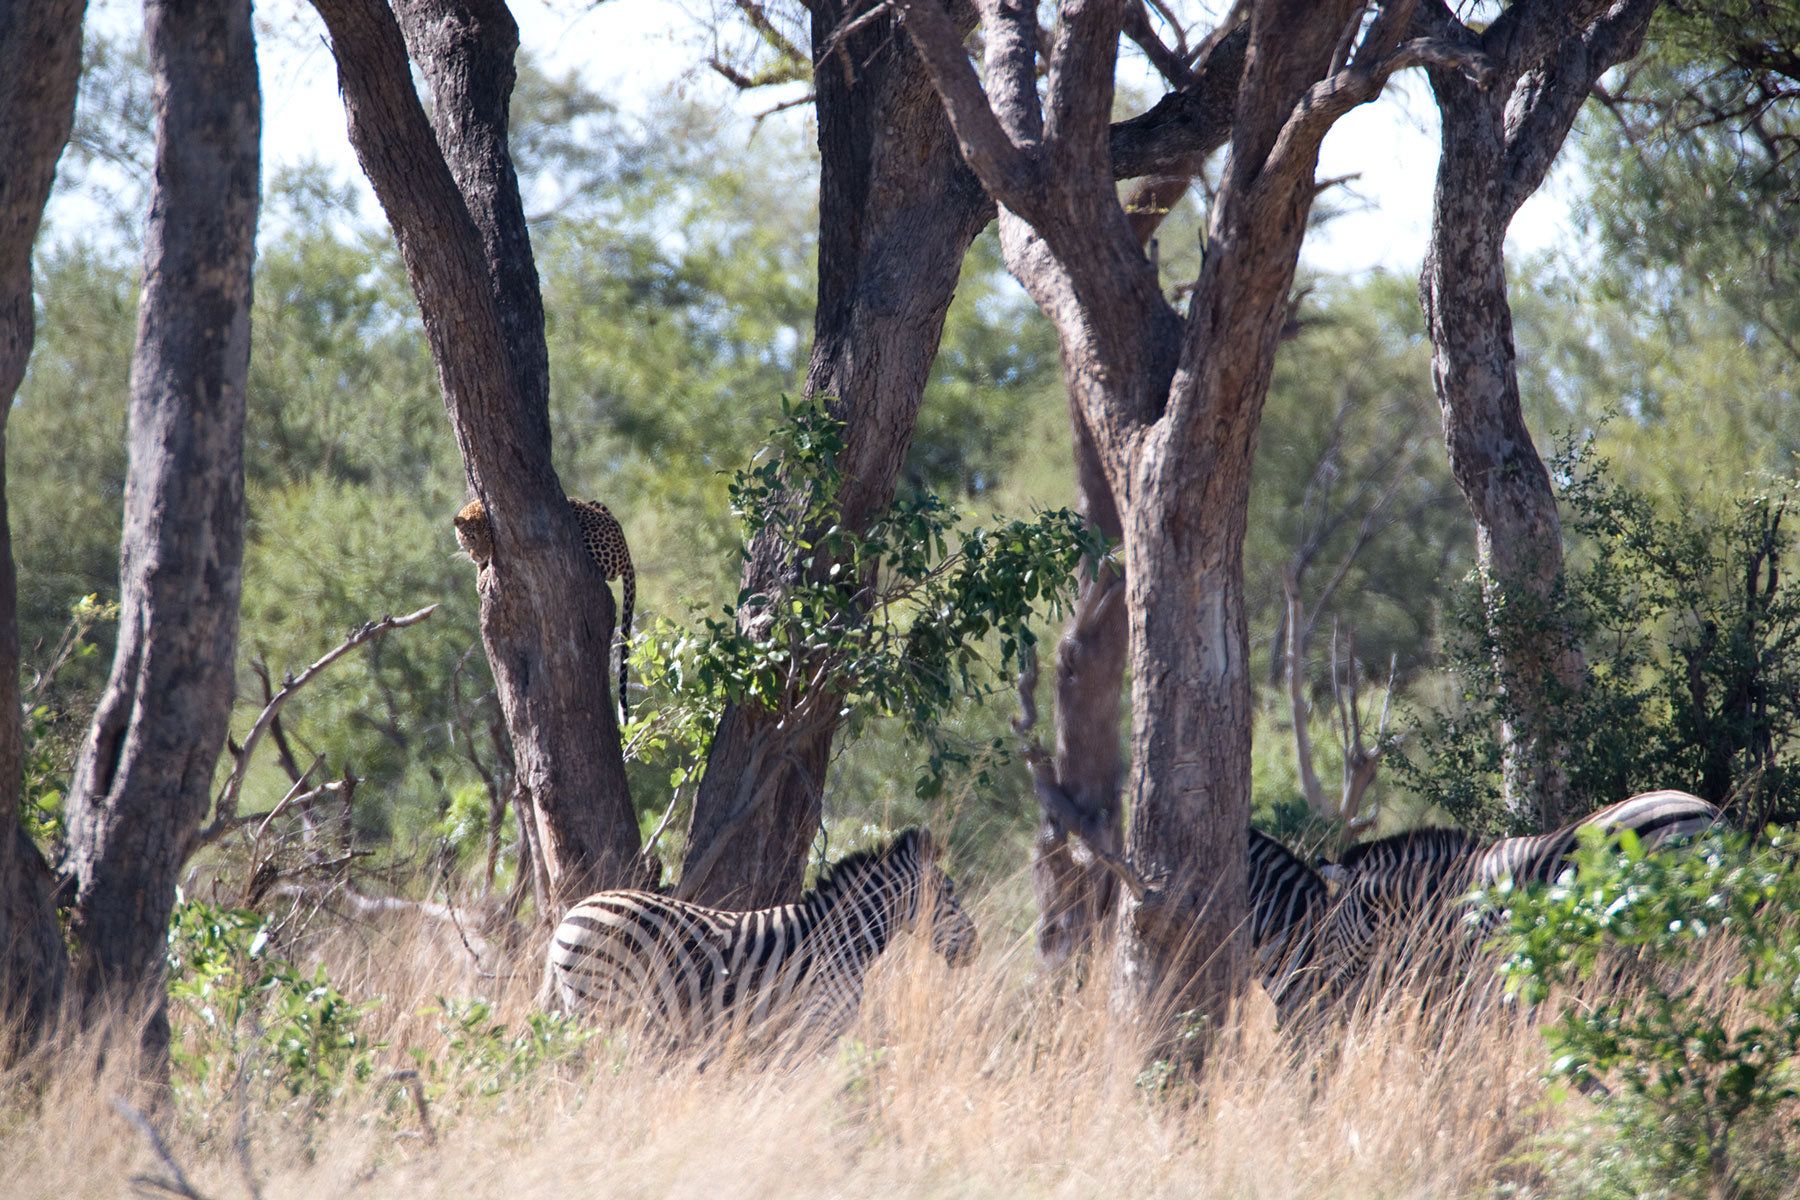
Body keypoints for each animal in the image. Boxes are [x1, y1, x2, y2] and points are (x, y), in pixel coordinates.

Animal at [453, 496, 636, 719]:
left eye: (489, 535)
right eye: (471, 536)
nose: (480, 554)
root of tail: (626, 552)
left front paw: (483, 576)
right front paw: (480, 570)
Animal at [542, 827, 978, 1054]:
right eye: (949, 893)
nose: (975, 946)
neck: (844, 938)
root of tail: (569, 915)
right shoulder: (818, 1021)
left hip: (583, 1001)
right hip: (602, 1001)